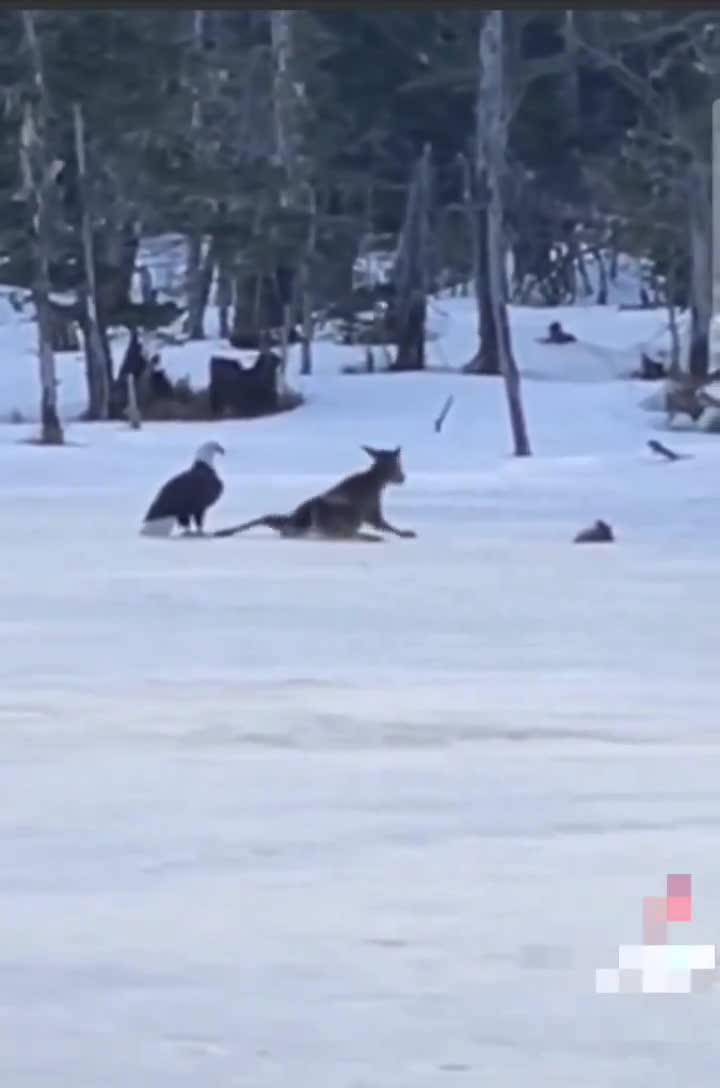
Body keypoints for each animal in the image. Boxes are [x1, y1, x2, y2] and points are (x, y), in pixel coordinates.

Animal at [213, 446, 416, 543]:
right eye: (398, 465)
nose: (402, 478)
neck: (377, 483)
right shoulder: (371, 512)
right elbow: (386, 525)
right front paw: (406, 533)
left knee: (271, 519)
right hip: (346, 514)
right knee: (343, 533)